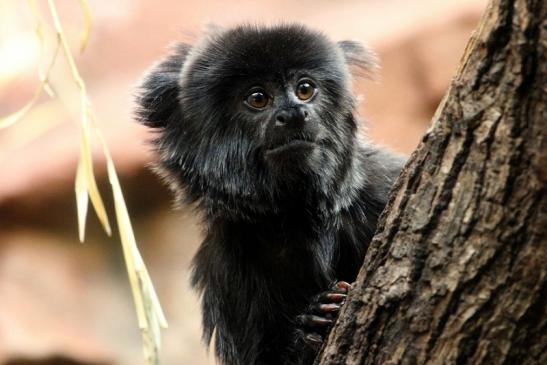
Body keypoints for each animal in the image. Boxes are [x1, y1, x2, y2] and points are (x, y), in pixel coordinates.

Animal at [135, 24, 404, 362]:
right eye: (258, 98)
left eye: (305, 89)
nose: (294, 113)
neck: (299, 216)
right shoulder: (227, 266)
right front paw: (308, 327)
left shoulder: (381, 184)